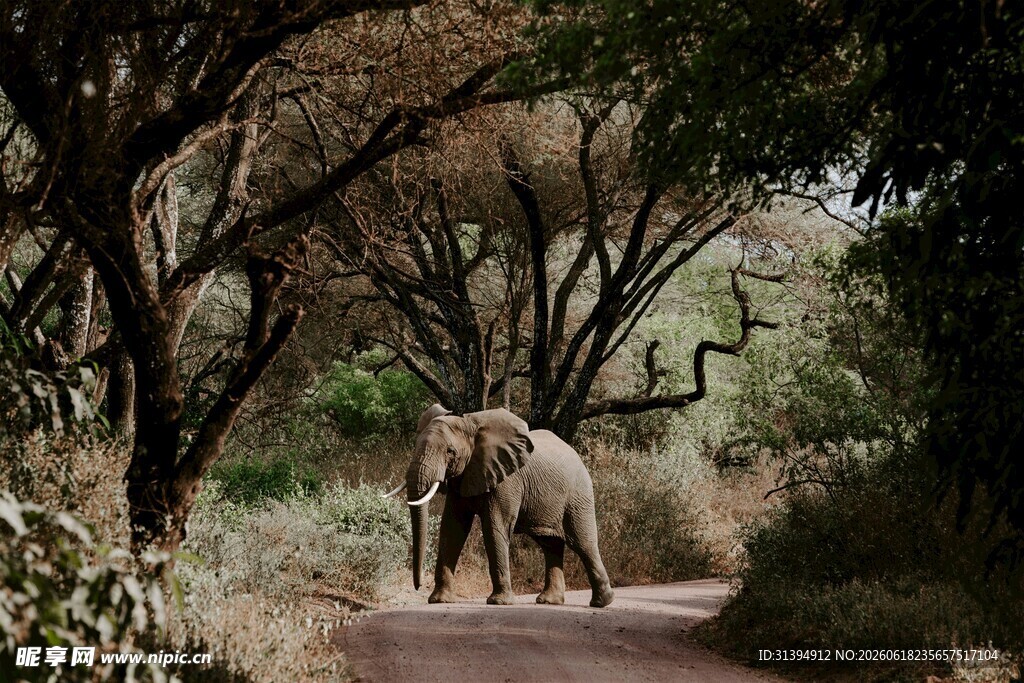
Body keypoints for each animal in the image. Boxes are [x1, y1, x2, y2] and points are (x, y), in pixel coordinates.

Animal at [382, 404, 614, 608]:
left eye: (450, 452)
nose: (418, 586)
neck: (469, 425)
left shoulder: (507, 480)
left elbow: (494, 528)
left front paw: (498, 602)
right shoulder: (464, 476)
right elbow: (452, 529)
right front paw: (439, 600)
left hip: (578, 495)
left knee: (583, 543)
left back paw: (602, 602)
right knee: (550, 544)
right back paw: (550, 601)